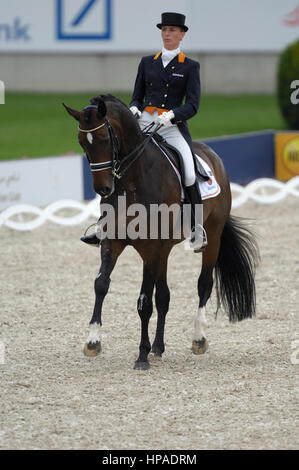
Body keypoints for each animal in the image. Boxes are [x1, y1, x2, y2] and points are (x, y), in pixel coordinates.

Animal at [63, 93, 260, 370]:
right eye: (82, 142)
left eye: (104, 139)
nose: (103, 189)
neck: (132, 182)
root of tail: (212, 154)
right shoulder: (114, 242)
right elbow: (101, 285)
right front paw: (93, 342)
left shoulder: (150, 247)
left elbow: (144, 301)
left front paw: (141, 356)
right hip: (164, 251)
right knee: (164, 297)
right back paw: (158, 347)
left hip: (211, 238)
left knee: (204, 285)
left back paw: (198, 339)